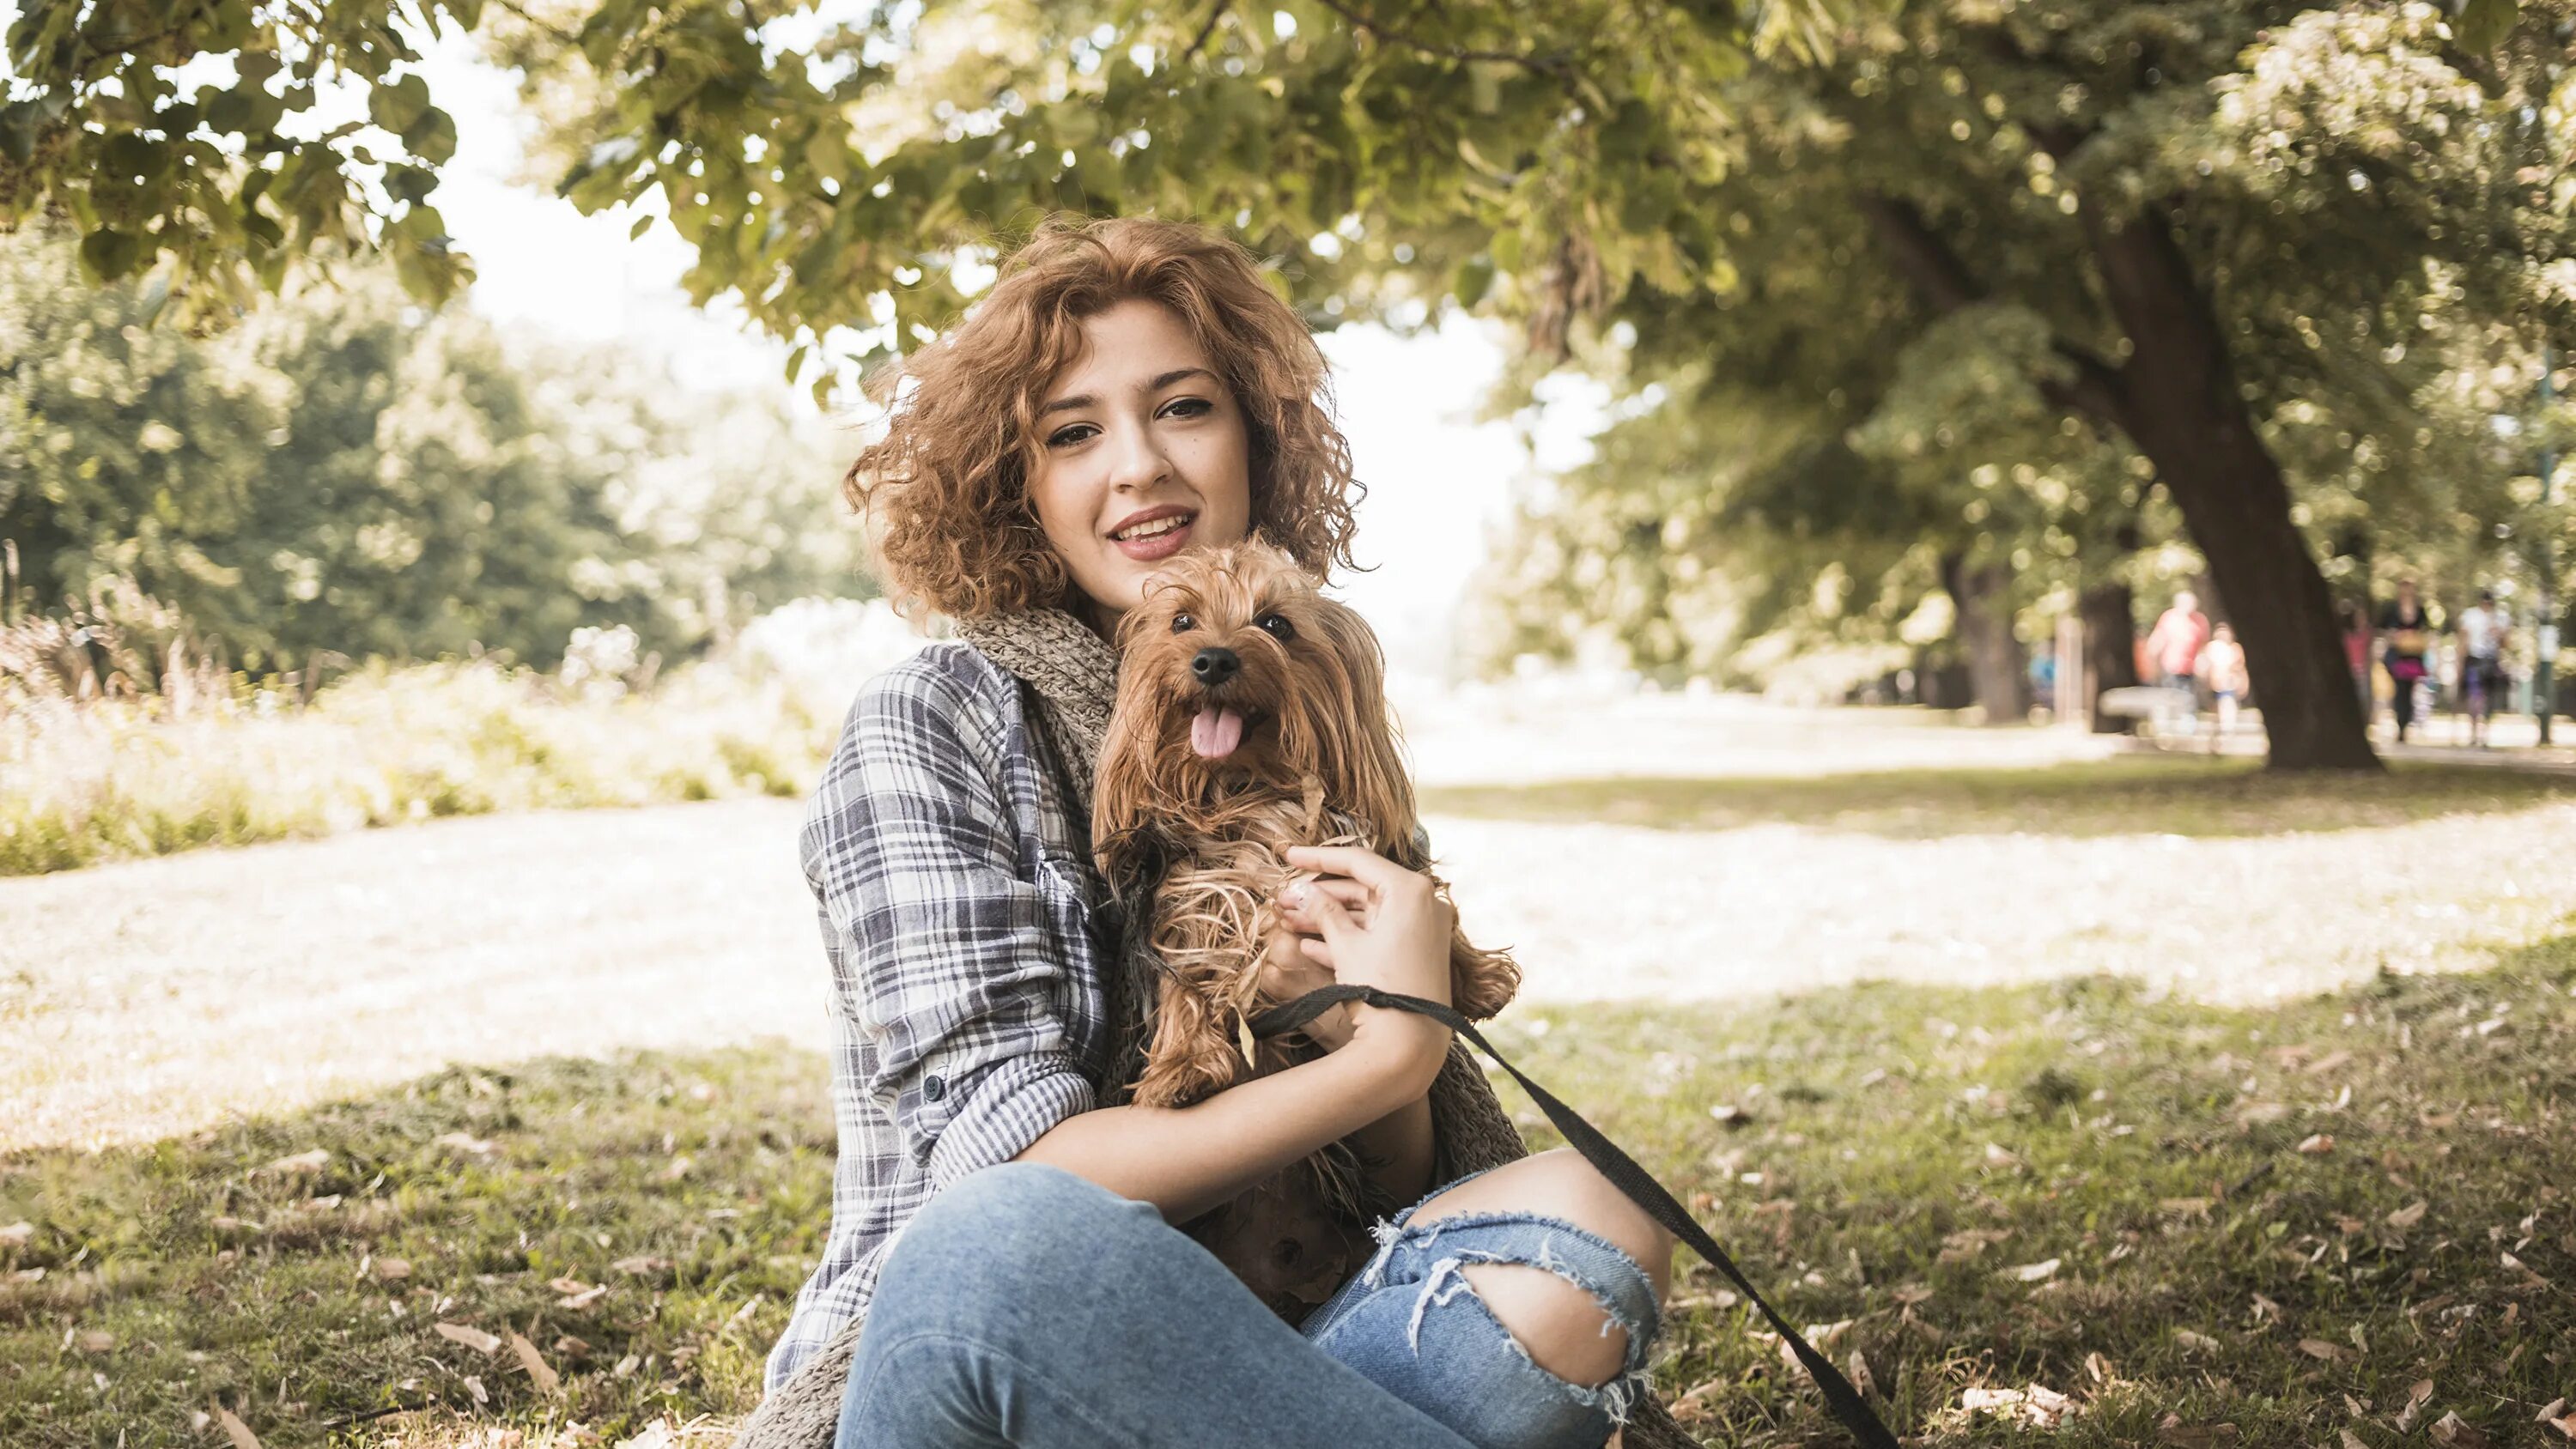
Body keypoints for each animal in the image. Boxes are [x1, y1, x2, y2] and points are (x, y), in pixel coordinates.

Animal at [1097, 537, 1515, 1307]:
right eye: (1181, 621)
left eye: (1276, 625)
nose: (1213, 660)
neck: (1245, 789)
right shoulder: (1185, 899)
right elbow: (1186, 981)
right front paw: (1179, 1068)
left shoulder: (1364, 854)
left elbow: (1432, 901)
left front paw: (1478, 980)